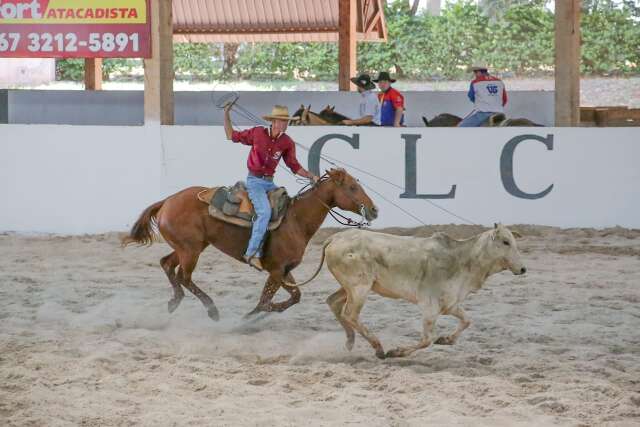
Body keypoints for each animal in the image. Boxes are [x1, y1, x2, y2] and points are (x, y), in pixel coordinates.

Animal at [122, 169, 378, 322]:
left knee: (167, 265)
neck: (296, 220)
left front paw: (256, 316)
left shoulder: (284, 270)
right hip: (190, 250)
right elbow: (266, 301)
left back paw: (174, 301)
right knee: (183, 276)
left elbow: (295, 296)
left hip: (189, 247)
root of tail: (167, 201)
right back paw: (212, 310)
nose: (374, 209)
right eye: (352, 188)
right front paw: (250, 317)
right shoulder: (275, 270)